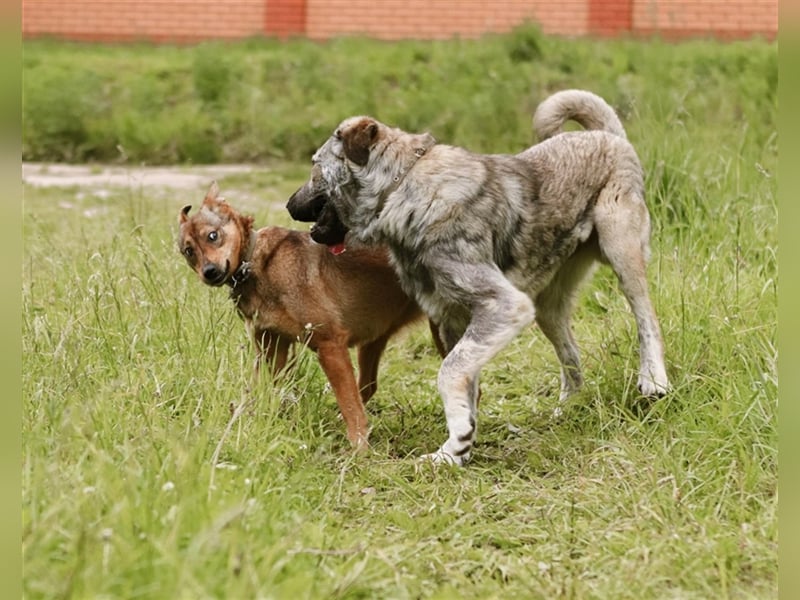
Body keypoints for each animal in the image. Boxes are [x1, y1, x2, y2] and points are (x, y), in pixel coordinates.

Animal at [178, 180, 440, 448]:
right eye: (188, 251)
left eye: (213, 236)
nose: (209, 272)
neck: (255, 265)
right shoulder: (271, 351)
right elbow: (256, 394)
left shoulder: (330, 345)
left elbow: (350, 408)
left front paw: (359, 450)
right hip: (374, 342)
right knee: (369, 386)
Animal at [288, 90, 668, 464]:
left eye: (315, 165)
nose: (289, 206)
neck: (403, 187)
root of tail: (608, 135)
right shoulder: (454, 319)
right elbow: (465, 384)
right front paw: (457, 447)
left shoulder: (505, 305)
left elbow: (449, 371)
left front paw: (456, 444)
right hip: (548, 307)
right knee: (571, 357)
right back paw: (569, 408)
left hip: (621, 251)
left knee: (647, 319)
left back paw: (654, 380)